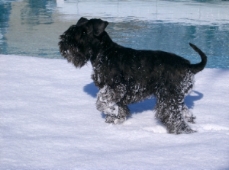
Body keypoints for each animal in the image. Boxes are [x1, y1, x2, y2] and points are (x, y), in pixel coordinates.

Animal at [58, 17, 207, 134]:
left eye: (84, 32)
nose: (64, 41)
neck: (104, 53)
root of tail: (188, 65)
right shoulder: (118, 92)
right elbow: (121, 108)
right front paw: (116, 119)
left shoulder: (115, 87)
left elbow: (101, 102)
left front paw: (110, 111)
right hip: (174, 96)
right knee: (183, 110)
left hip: (168, 97)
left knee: (174, 117)